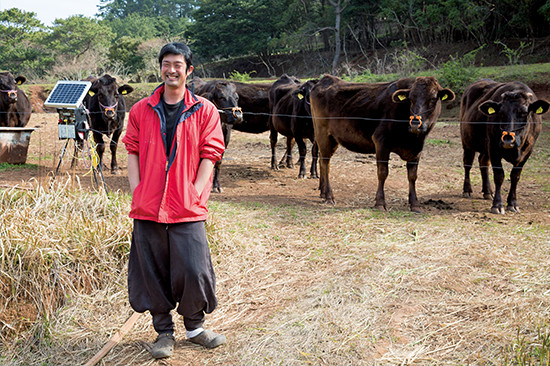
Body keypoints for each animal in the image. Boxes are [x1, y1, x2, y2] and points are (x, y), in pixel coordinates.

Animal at [310, 74, 458, 212]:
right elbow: (382, 173)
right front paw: (380, 203)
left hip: (333, 139)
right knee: (325, 162)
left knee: (324, 162)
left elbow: (412, 176)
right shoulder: (381, 142)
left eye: (433, 98)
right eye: (410, 99)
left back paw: (323, 193)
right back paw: (329, 196)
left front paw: (415, 204)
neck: (410, 138)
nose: (416, 124)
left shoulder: (417, 149)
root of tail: (325, 79)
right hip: (322, 133)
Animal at [462, 78, 548, 213]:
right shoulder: (494, 148)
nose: (508, 140)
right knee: (468, 164)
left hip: (485, 149)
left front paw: (512, 203)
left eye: (524, 113)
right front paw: (497, 205)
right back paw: (467, 190)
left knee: (483, 163)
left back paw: (487, 191)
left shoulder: (527, 151)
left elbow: (515, 176)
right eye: (501, 113)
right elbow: (499, 176)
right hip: (467, 142)